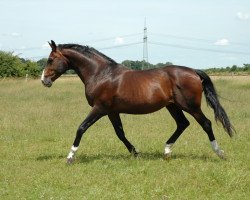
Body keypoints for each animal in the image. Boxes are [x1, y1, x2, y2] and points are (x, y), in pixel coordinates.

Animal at [41, 40, 234, 164]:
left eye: (51, 59)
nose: (44, 80)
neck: (101, 74)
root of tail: (194, 71)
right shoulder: (112, 111)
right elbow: (120, 133)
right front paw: (136, 153)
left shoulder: (100, 108)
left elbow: (81, 128)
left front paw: (70, 157)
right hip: (172, 106)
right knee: (182, 124)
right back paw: (166, 152)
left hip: (190, 106)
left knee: (206, 124)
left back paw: (220, 153)